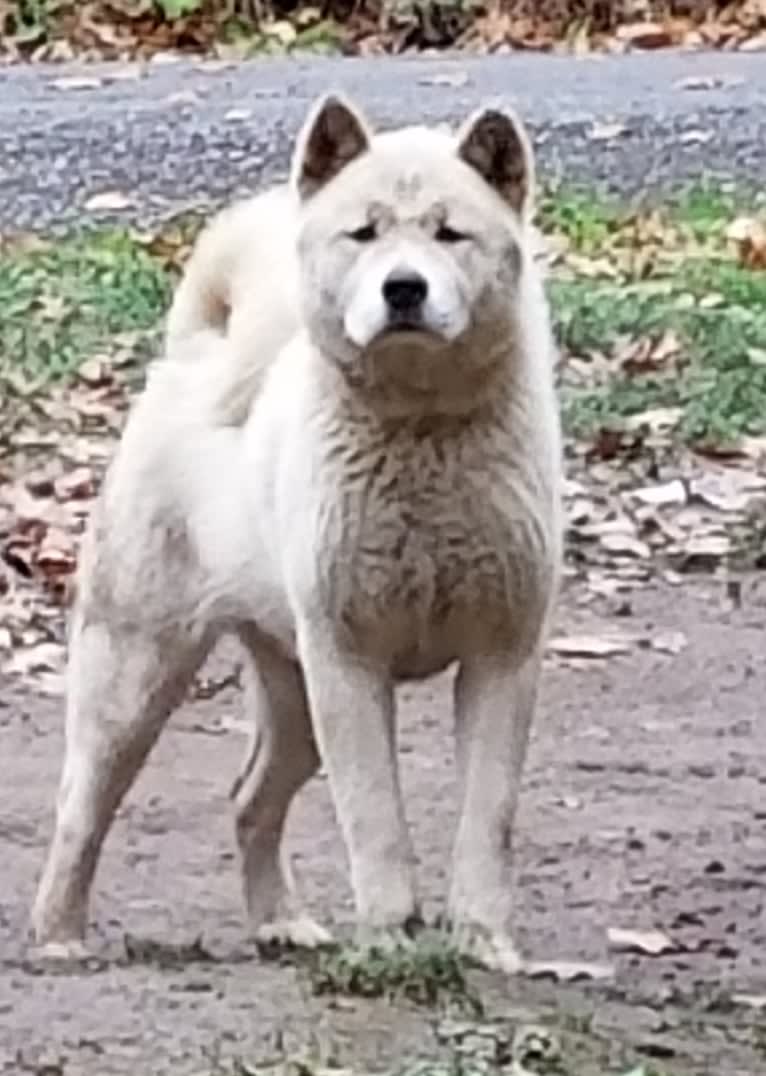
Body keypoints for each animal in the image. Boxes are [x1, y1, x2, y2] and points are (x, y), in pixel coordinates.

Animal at [31, 90, 563, 977]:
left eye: (451, 233)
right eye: (365, 233)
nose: (405, 289)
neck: (422, 431)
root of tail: (196, 358)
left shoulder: (502, 659)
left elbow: (487, 820)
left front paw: (481, 940)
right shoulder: (349, 664)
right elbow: (374, 820)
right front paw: (391, 937)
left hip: (292, 695)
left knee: (249, 799)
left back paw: (278, 922)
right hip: (137, 675)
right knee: (81, 805)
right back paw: (59, 935)